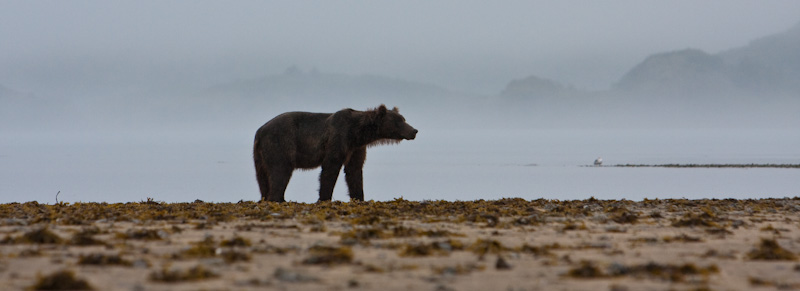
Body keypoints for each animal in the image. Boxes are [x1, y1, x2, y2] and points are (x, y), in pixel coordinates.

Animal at [253, 105, 418, 203]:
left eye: (404, 119)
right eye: (399, 121)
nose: (414, 130)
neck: (357, 133)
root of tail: (260, 130)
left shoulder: (356, 148)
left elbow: (354, 171)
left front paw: (359, 197)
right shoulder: (338, 137)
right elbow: (330, 168)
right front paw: (325, 198)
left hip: (259, 155)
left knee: (262, 177)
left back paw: (267, 197)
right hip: (280, 143)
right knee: (281, 171)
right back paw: (277, 198)